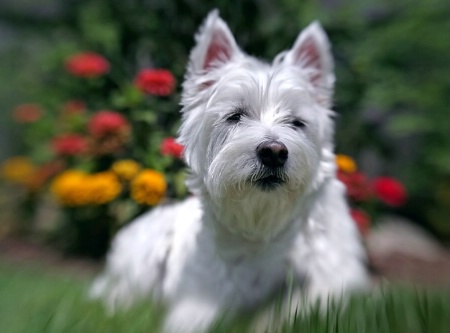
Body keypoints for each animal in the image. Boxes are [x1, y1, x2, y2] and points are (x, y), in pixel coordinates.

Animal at [91, 10, 370, 332]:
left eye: (297, 122)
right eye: (235, 116)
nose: (274, 153)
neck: (262, 226)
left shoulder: (334, 282)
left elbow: (302, 305)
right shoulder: (201, 296)